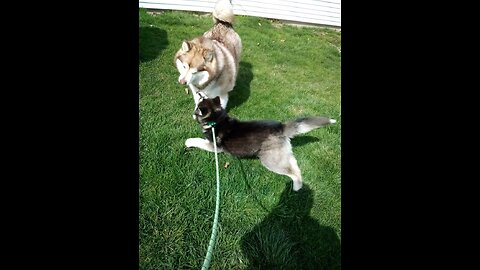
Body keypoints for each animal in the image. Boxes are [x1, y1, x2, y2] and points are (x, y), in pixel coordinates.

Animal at [186, 96, 336, 191]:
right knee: (294, 163)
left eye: (196, 109)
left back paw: (297, 186)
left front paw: (188, 141)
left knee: (292, 172)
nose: (192, 113)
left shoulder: (214, 146)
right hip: (280, 154)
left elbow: (198, 140)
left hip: (269, 160)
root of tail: (280, 126)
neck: (216, 120)